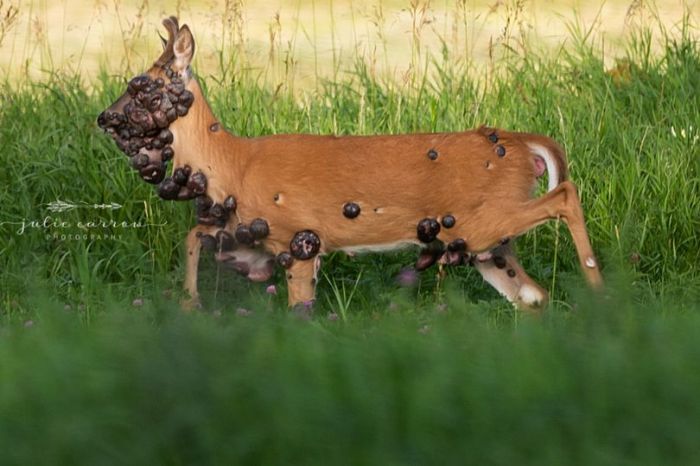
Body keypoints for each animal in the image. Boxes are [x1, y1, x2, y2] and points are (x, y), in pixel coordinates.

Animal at [97, 16, 600, 314]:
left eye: (141, 85)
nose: (103, 117)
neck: (234, 165)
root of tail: (522, 142)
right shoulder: (250, 236)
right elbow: (192, 236)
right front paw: (188, 304)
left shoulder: (297, 234)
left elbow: (299, 311)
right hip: (485, 244)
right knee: (532, 297)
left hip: (481, 220)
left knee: (566, 195)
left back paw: (601, 293)